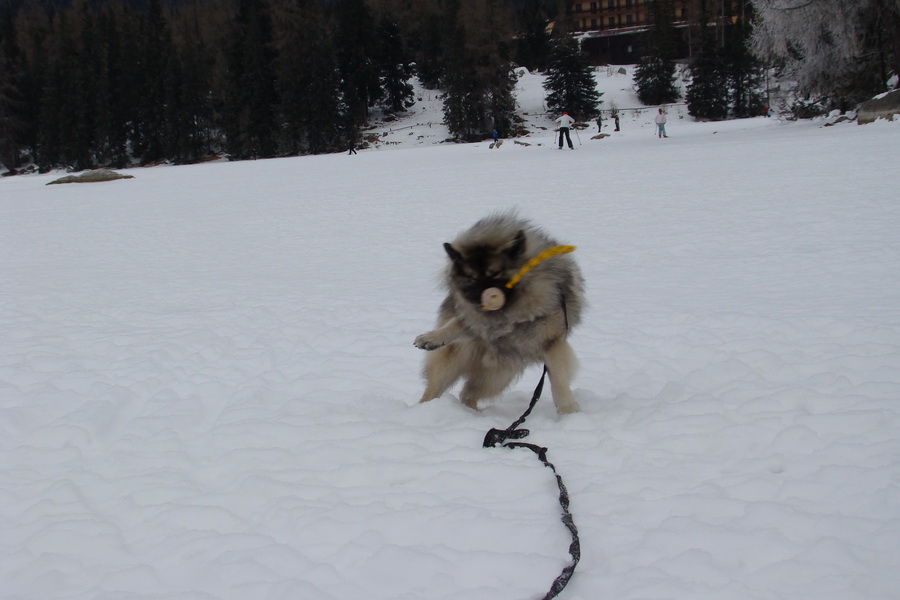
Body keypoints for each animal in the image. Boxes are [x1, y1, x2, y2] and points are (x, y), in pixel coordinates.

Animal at [414, 213, 584, 414]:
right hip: (459, 361)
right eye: (471, 278)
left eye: (495, 273)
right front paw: (431, 337)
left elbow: (559, 381)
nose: (481, 298)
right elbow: (456, 324)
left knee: (468, 393)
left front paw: (569, 411)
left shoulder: (552, 344)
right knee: (438, 388)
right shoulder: (478, 324)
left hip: (499, 373)